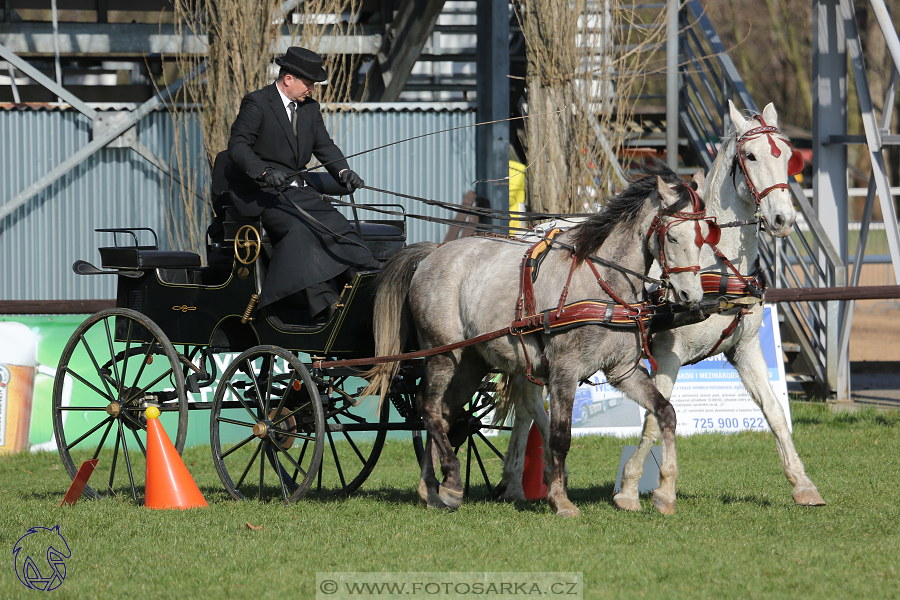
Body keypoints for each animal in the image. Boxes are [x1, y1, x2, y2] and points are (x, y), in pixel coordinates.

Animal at [364, 163, 712, 516]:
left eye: (704, 237)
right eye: (672, 236)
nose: (692, 296)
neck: (603, 284)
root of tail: (432, 253)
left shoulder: (622, 370)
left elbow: (665, 412)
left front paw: (665, 492)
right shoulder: (564, 370)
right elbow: (559, 436)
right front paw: (560, 499)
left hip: (471, 362)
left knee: (444, 413)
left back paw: (431, 488)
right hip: (443, 354)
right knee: (429, 407)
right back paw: (451, 481)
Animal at [500, 101, 824, 508]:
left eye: (786, 155)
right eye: (750, 155)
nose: (783, 218)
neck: (713, 264)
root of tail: (535, 232)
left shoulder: (745, 348)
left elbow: (775, 412)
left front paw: (803, 484)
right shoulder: (668, 355)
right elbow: (655, 419)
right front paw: (637, 488)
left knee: (526, 407)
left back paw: (516, 481)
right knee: (529, 404)